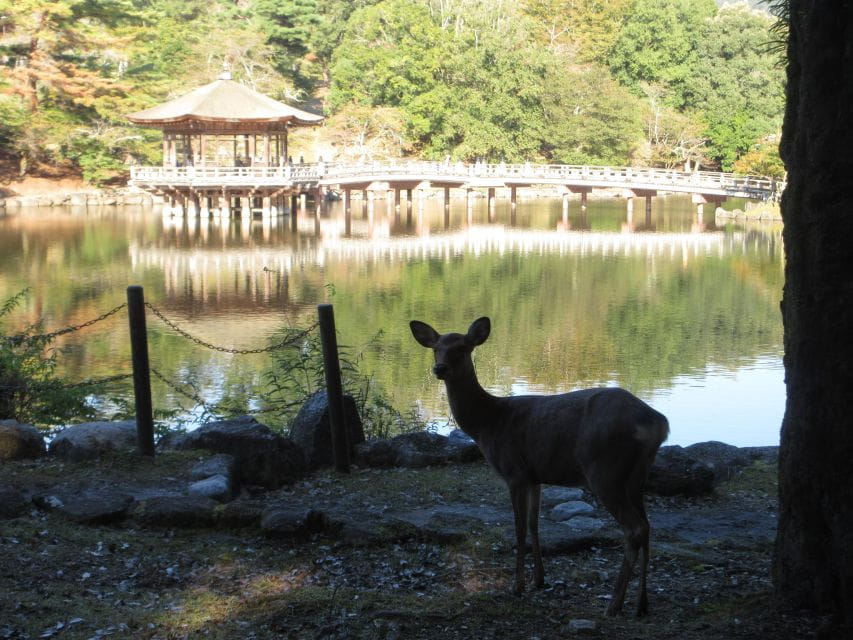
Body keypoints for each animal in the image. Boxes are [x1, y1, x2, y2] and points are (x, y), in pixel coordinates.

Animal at [410, 316, 669, 617]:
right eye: (435, 349)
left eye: (462, 347)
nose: (439, 368)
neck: (488, 423)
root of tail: (658, 423)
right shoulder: (535, 476)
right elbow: (535, 524)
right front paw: (539, 579)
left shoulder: (514, 472)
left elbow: (520, 527)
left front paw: (517, 585)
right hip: (636, 477)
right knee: (647, 527)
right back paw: (641, 604)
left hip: (605, 470)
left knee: (634, 528)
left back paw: (614, 603)